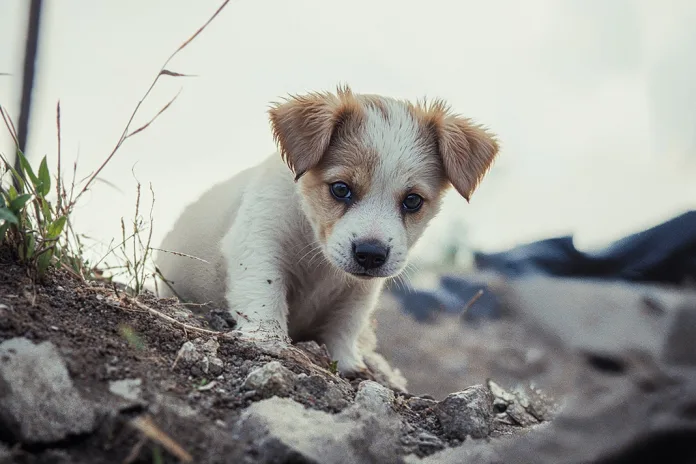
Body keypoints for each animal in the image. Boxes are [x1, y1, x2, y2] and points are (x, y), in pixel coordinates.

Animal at [155, 85, 498, 376]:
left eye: (412, 201)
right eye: (341, 189)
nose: (370, 254)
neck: (318, 255)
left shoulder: (361, 291)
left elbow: (346, 324)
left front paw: (349, 362)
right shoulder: (259, 241)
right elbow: (264, 293)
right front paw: (267, 338)